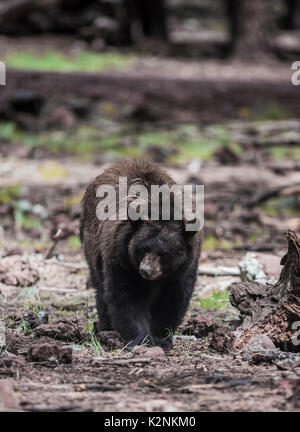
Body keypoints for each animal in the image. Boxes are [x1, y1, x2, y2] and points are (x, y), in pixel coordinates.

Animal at [79, 160, 202, 350]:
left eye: (165, 253)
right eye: (143, 248)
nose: (146, 270)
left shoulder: (183, 269)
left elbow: (172, 300)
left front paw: (161, 338)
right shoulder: (120, 261)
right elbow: (125, 297)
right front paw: (141, 339)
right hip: (93, 246)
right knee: (100, 289)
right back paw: (105, 329)